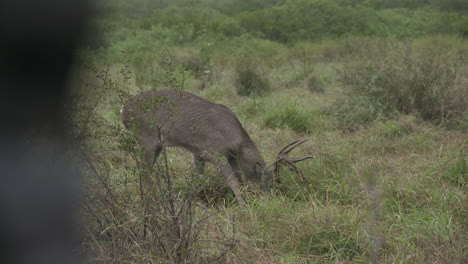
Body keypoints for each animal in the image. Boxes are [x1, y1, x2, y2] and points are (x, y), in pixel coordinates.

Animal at [120, 89, 312, 206]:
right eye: (270, 182)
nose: (271, 201)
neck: (235, 143)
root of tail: (124, 110)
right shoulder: (214, 153)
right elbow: (234, 182)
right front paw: (244, 207)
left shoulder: (199, 153)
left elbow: (197, 180)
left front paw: (188, 205)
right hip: (146, 138)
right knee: (144, 172)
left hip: (157, 145)